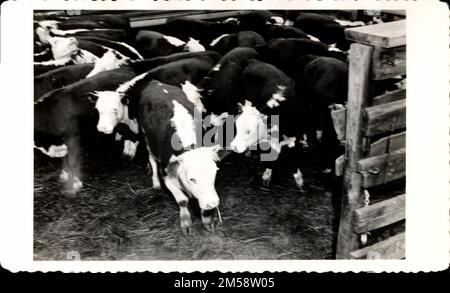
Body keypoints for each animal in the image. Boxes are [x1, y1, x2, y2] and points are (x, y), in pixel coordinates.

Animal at [138, 78, 221, 234]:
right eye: (192, 178)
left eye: (214, 173)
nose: (212, 203)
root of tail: (155, 82)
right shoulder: (167, 175)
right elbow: (182, 201)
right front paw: (186, 222)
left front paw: (207, 219)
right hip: (146, 138)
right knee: (152, 159)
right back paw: (155, 183)